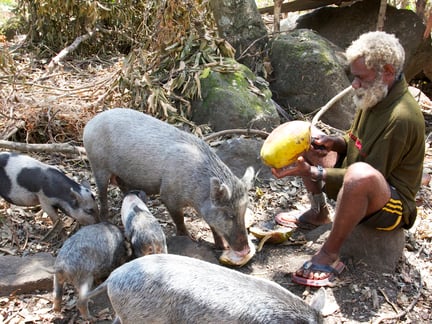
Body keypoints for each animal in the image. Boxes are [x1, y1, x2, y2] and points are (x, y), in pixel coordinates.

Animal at [82, 109, 255, 266]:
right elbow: (179, 219)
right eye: (230, 215)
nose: (246, 250)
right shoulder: (168, 195)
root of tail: (89, 124)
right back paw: (106, 218)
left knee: (121, 185)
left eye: (244, 211)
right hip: (98, 165)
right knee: (102, 193)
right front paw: (188, 237)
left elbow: (213, 225)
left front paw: (222, 246)